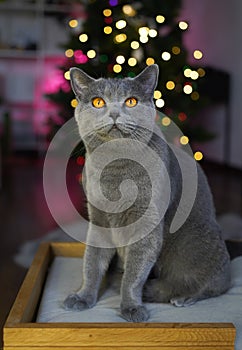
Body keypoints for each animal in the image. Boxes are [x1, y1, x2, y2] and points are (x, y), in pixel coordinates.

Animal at [64, 64, 231, 322]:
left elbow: (134, 274)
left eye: (131, 101)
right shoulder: (98, 218)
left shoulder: (147, 221)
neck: (115, 170)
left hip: (194, 241)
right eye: (98, 102)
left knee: (214, 282)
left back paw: (184, 298)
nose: (114, 113)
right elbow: (92, 262)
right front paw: (83, 297)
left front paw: (131, 307)